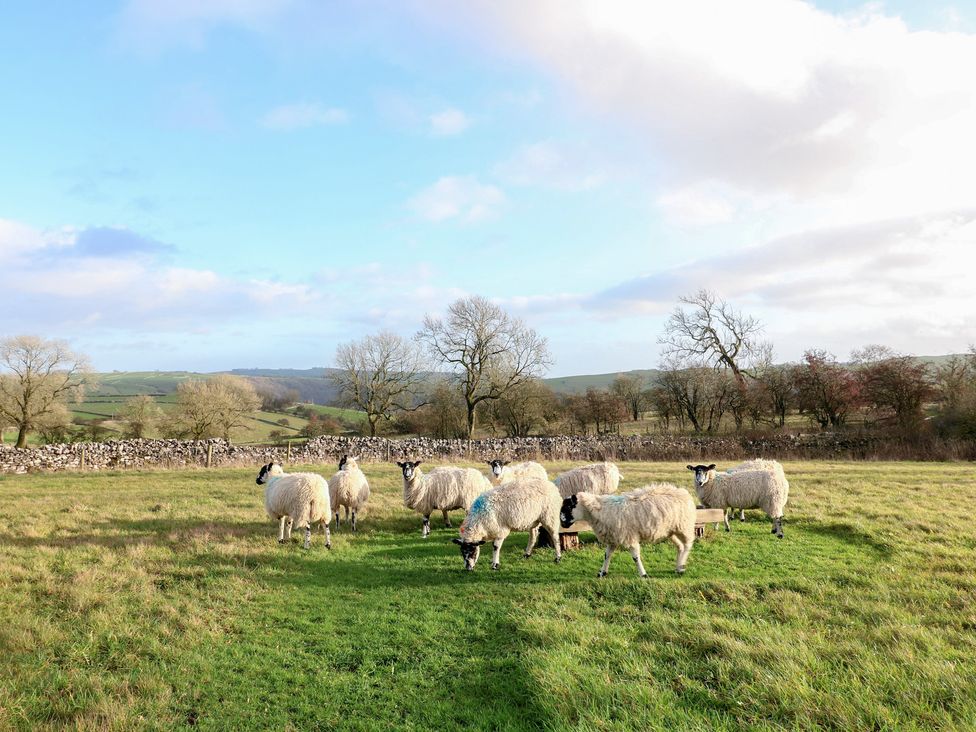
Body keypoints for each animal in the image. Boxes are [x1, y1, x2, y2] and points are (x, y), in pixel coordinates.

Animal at [560, 484, 697, 577]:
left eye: (569, 506)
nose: (562, 523)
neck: (599, 510)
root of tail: (684, 493)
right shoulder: (613, 538)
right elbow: (607, 555)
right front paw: (602, 572)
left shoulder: (629, 537)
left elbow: (635, 557)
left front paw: (643, 575)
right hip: (670, 530)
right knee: (680, 546)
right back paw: (678, 567)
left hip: (684, 526)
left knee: (688, 544)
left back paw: (682, 565)